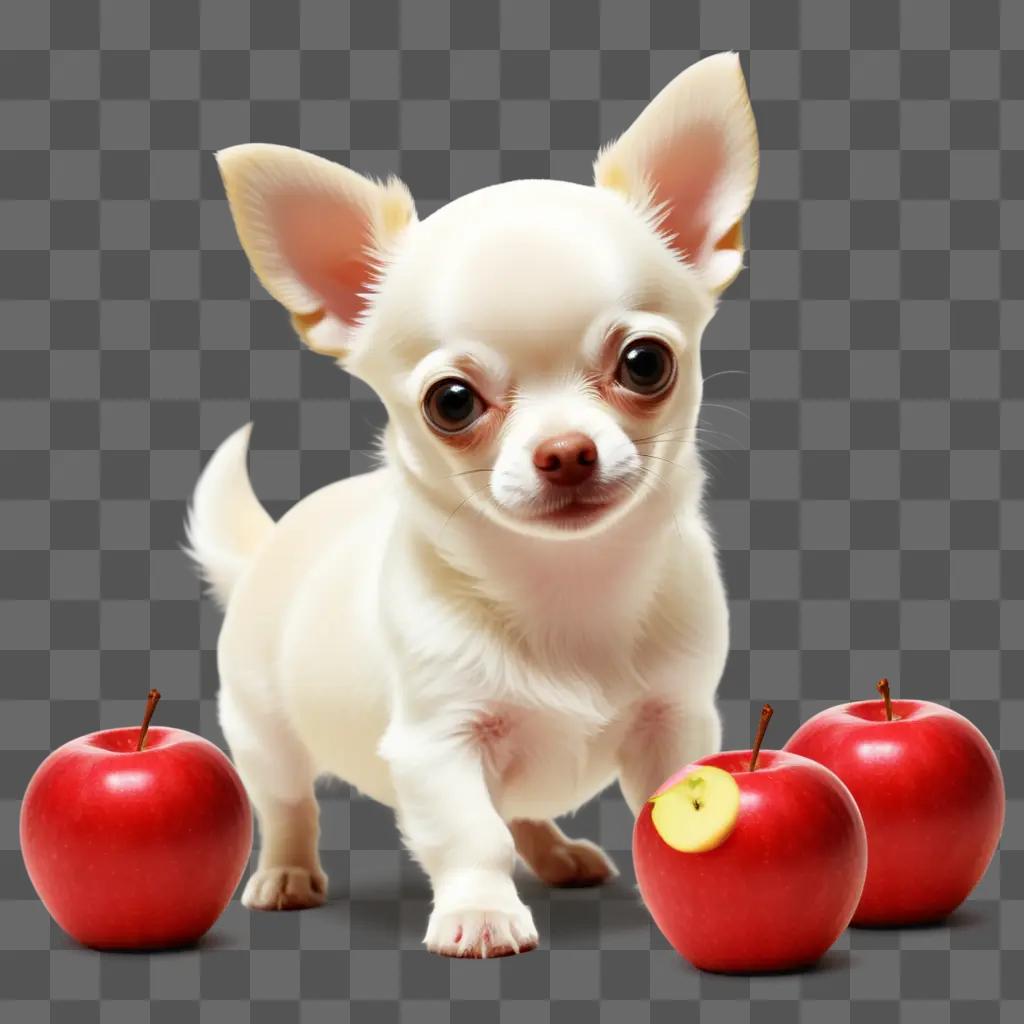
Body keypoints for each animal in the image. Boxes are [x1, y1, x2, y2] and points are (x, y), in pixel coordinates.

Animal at [186, 51, 761, 954]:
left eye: (645, 362)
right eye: (451, 402)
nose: (566, 452)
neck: (567, 586)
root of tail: (277, 542)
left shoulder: (676, 720)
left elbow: (667, 807)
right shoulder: (437, 743)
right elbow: (470, 833)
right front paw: (481, 913)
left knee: (520, 810)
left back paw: (558, 854)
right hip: (260, 727)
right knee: (285, 802)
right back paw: (285, 874)